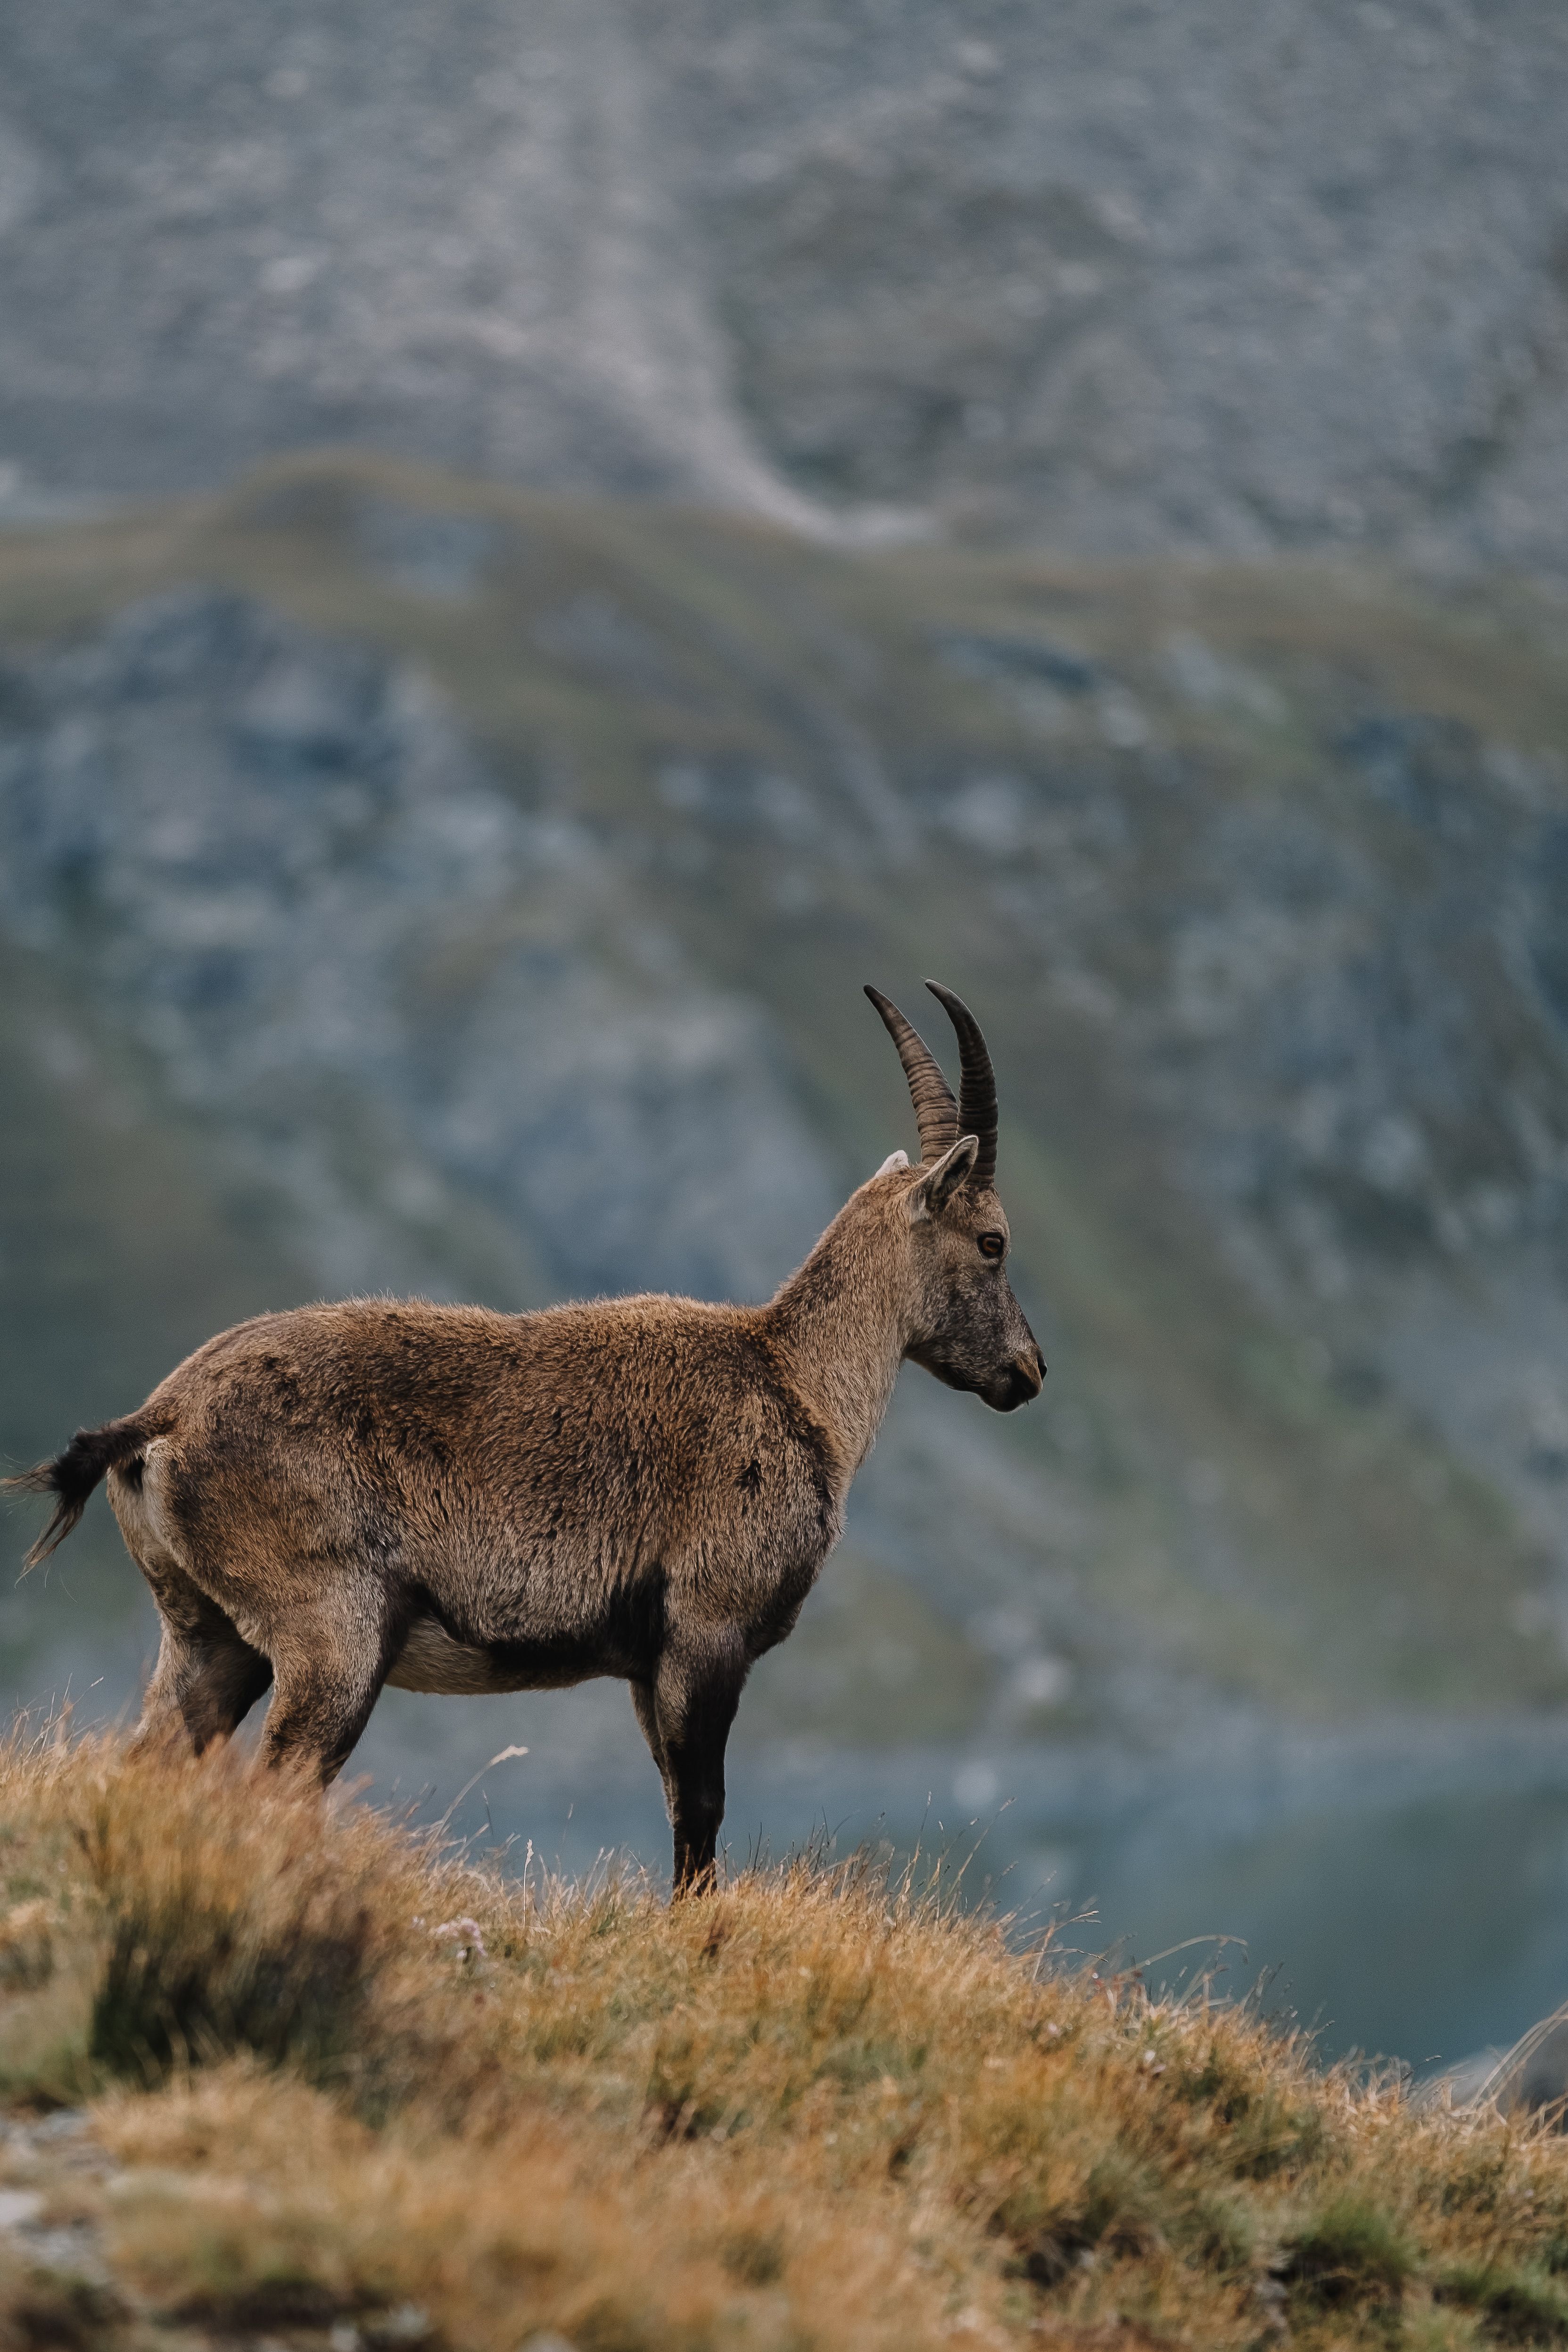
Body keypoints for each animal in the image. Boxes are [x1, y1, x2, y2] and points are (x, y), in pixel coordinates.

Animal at [5, 983, 1044, 1891]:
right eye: (992, 1240)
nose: (1028, 1371)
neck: (795, 1381)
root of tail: (163, 1417)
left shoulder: (647, 1664)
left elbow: (680, 1799)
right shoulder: (706, 1632)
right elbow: (700, 1811)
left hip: (206, 1631)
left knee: (151, 1759)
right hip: (330, 1631)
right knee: (281, 1782)